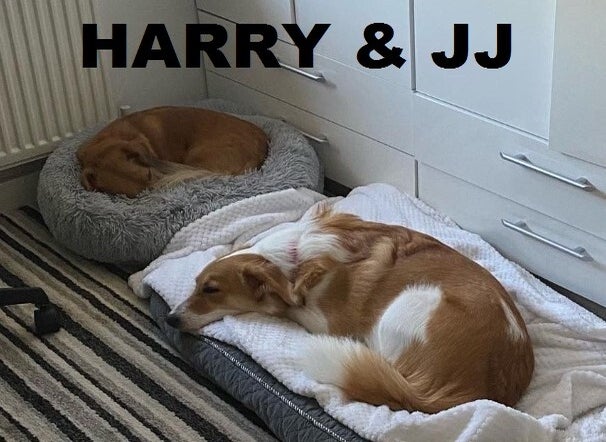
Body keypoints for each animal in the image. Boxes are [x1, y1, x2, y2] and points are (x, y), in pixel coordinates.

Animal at [166, 210, 534, 413]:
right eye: (196, 284)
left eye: (211, 290)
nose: (170, 319)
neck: (293, 261)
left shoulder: (327, 322)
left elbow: (290, 309)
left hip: (409, 304)